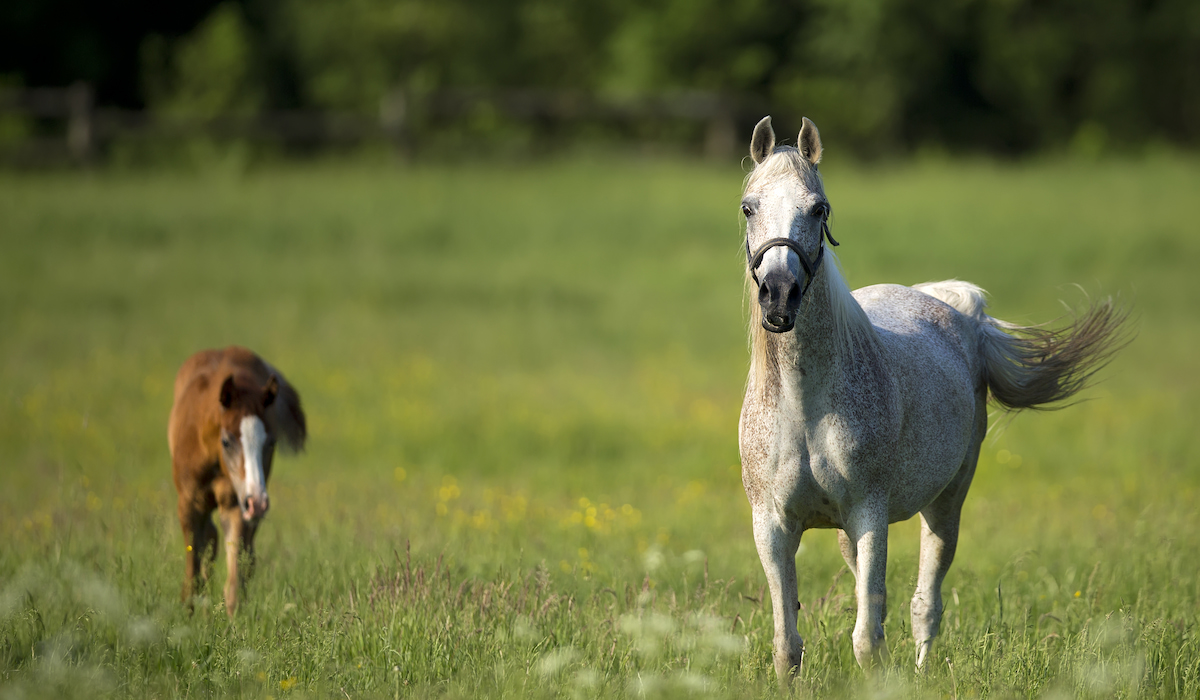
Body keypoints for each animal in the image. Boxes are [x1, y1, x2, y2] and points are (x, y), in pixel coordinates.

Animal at [168, 346, 307, 616]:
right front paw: (188, 613)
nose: (259, 502)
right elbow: (193, 564)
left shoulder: (236, 505)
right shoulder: (188, 503)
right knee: (210, 540)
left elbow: (234, 577)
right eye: (227, 441)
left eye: (271, 442)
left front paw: (234, 622)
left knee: (245, 555)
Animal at [737, 116, 1128, 680]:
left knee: (926, 604)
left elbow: (867, 640)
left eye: (819, 209)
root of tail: (954, 308)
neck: (804, 405)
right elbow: (787, 646)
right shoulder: (772, 525)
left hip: (947, 501)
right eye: (749, 206)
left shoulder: (870, 516)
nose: (779, 293)